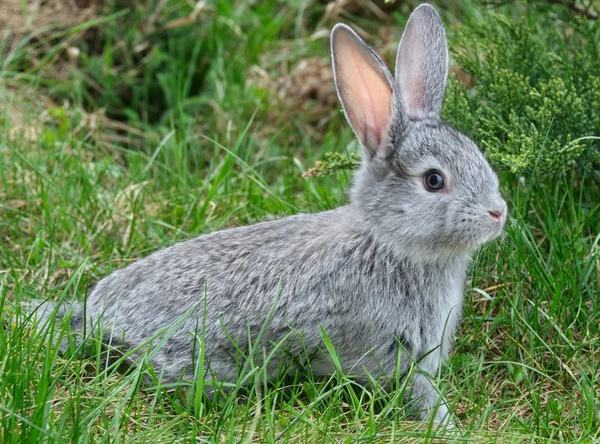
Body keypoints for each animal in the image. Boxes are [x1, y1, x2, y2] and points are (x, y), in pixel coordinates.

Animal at [29, 4, 506, 426]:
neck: (388, 241)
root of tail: (92, 316)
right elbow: (417, 392)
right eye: (434, 181)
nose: (498, 213)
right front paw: (445, 424)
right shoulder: (391, 354)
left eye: (478, 155)